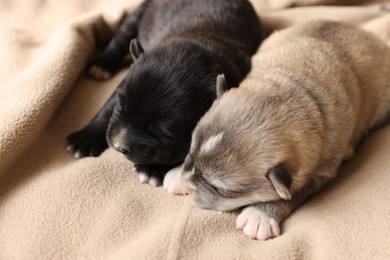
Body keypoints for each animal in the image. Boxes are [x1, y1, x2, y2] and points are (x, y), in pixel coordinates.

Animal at [67, 0, 264, 187]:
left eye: (162, 134)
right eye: (121, 108)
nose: (118, 145)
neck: (202, 39)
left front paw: (153, 169)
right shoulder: (124, 84)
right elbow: (107, 107)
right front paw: (86, 138)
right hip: (139, 13)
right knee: (120, 38)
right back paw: (102, 64)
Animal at [163, 20, 390, 240]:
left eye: (218, 188)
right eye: (190, 151)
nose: (188, 181)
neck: (296, 90)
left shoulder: (319, 173)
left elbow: (292, 195)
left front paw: (258, 216)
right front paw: (177, 175)